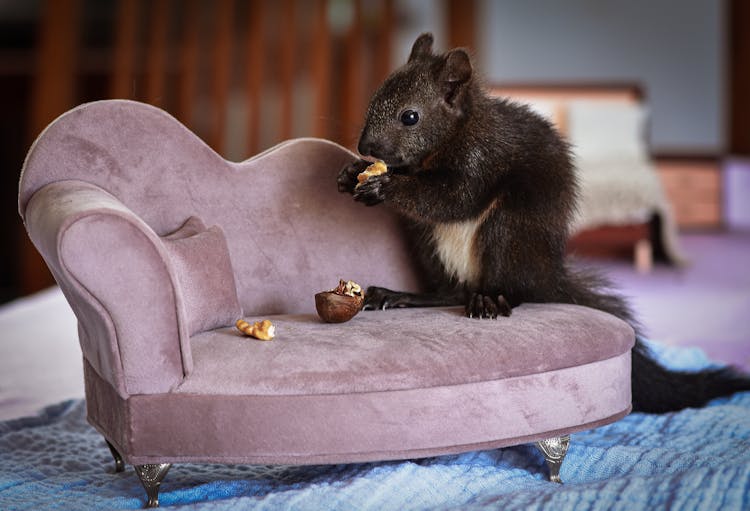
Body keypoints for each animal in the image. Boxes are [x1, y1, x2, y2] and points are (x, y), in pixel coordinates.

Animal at [340, 33, 750, 416]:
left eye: (410, 116)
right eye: (374, 97)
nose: (366, 147)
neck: (455, 134)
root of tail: (548, 277)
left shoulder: (481, 159)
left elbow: (454, 199)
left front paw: (385, 185)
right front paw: (352, 172)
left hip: (509, 231)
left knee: (511, 289)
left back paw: (491, 299)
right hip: (429, 243)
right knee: (451, 291)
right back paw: (404, 296)